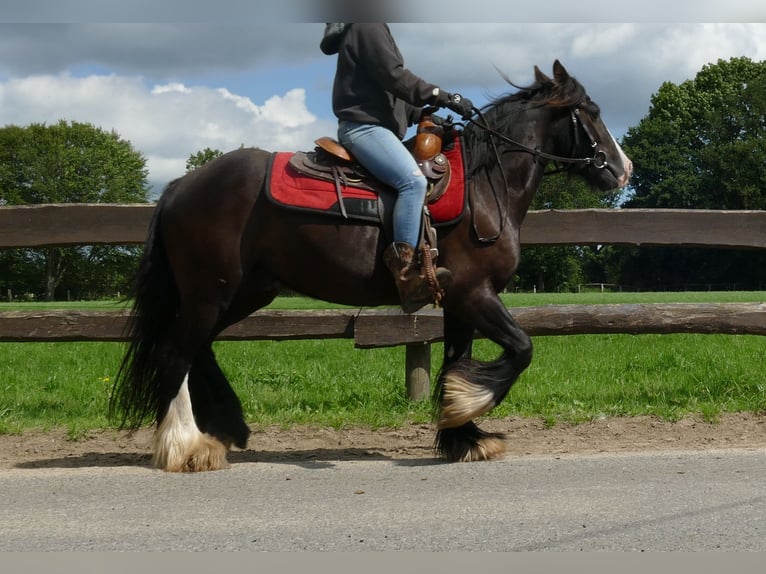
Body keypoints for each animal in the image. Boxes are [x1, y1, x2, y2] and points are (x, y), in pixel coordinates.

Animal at [111, 60, 632, 472]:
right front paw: (466, 408)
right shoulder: (475, 292)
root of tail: (181, 186)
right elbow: (522, 349)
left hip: (242, 292)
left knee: (198, 349)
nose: (622, 169)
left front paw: (464, 435)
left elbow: (457, 359)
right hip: (210, 292)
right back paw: (186, 446)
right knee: (175, 353)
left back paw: (227, 425)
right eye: (591, 112)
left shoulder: (459, 300)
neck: (485, 187)